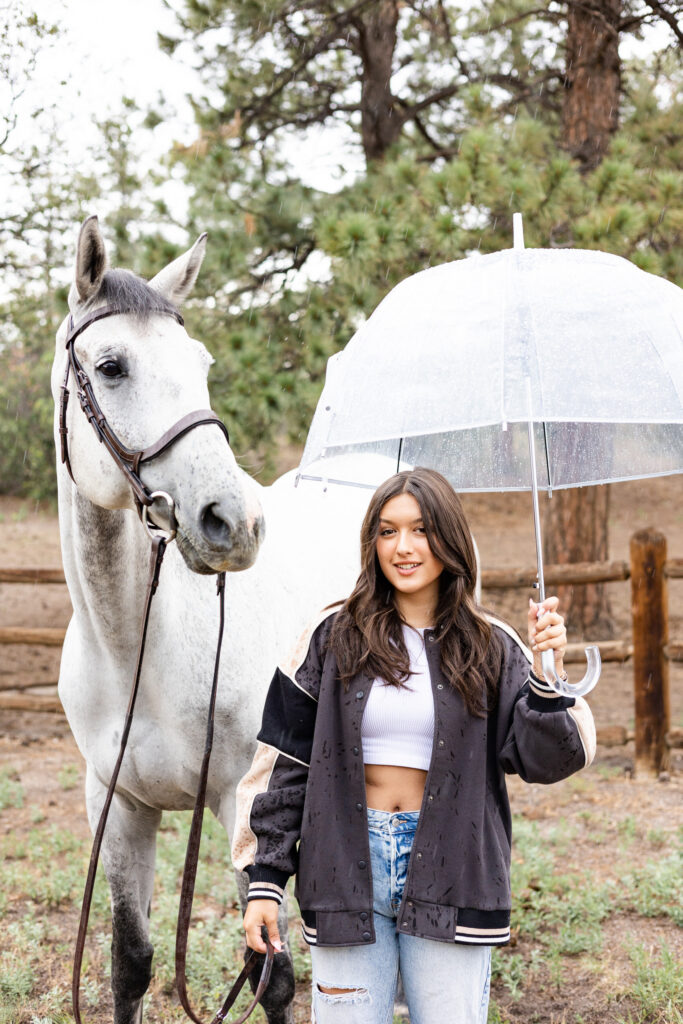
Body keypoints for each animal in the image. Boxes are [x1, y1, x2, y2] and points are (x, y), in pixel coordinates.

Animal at [50, 220, 376, 1024]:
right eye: (111, 366)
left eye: (200, 364)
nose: (235, 521)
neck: (136, 649)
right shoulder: (117, 805)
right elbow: (130, 962)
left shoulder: (241, 800)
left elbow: (273, 976)